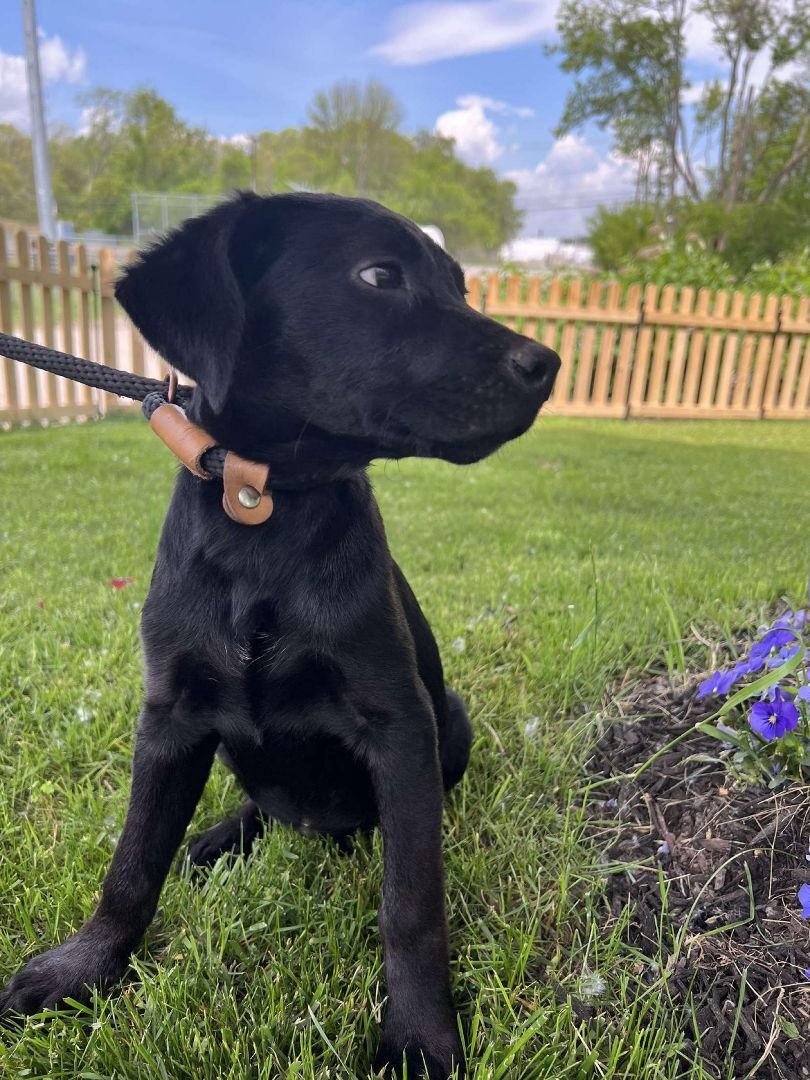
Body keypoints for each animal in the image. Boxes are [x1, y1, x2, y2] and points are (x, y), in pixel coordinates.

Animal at [0, 194, 557, 1080]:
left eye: (460, 287)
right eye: (378, 276)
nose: (548, 364)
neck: (266, 507)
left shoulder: (400, 725)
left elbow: (411, 903)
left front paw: (420, 1037)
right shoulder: (170, 717)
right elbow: (131, 863)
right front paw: (83, 969)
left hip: (452, 722)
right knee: (267, 809)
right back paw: (216, 839)